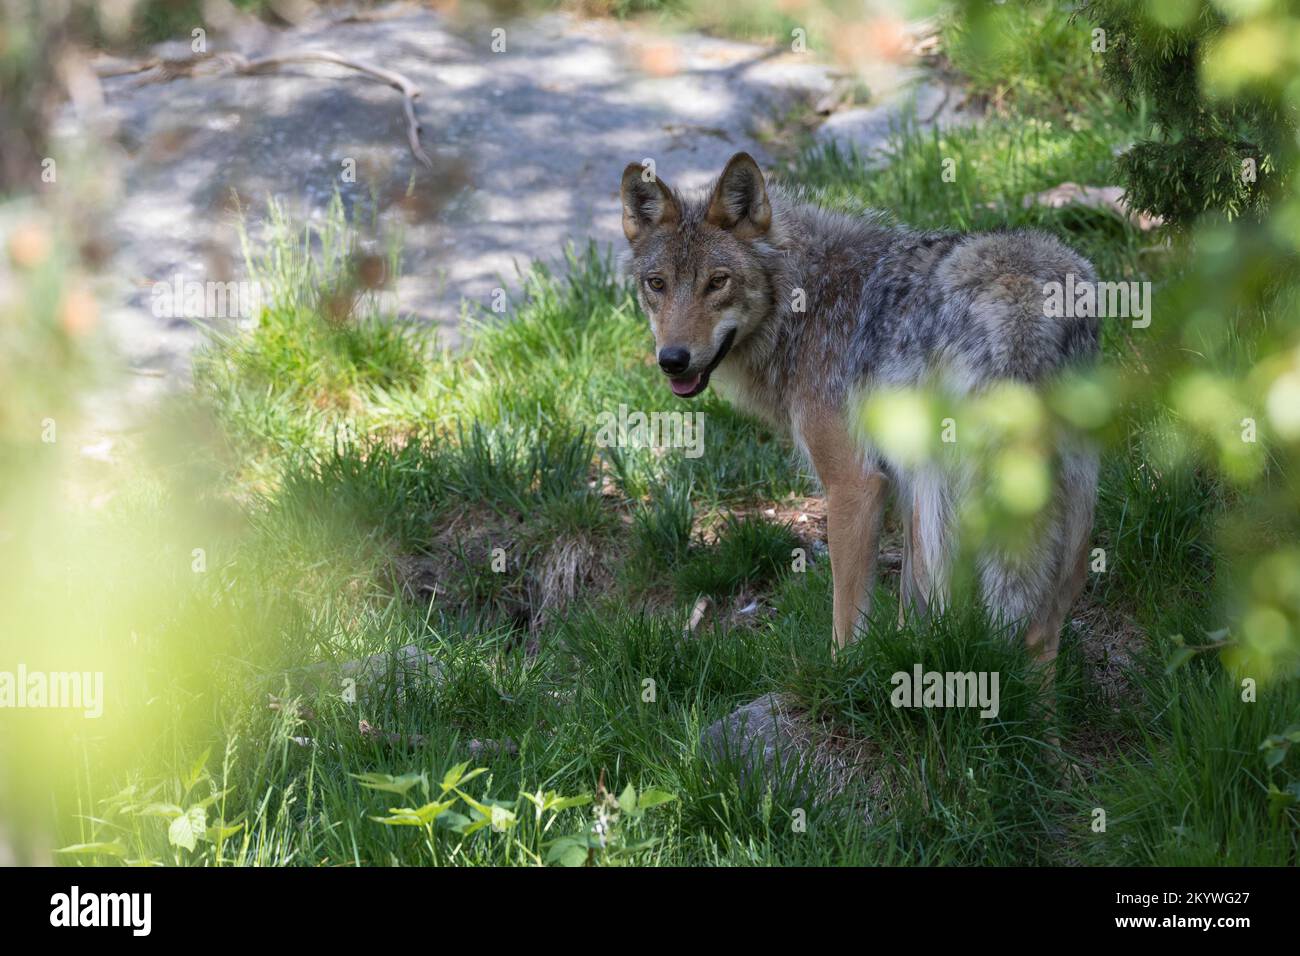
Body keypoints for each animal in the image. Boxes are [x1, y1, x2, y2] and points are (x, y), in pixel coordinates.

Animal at [619, 152, 1099, 683]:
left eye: (717, 281)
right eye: (657, 284)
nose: (673, 360)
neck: (801, 304)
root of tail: (1023, 306)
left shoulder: (855, 482)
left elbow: (848, 614)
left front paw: (842, 677)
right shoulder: (901, 481)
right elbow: (911, 602)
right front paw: (905, 652)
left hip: (951, 492)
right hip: (1058, 499)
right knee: (1042, 632)